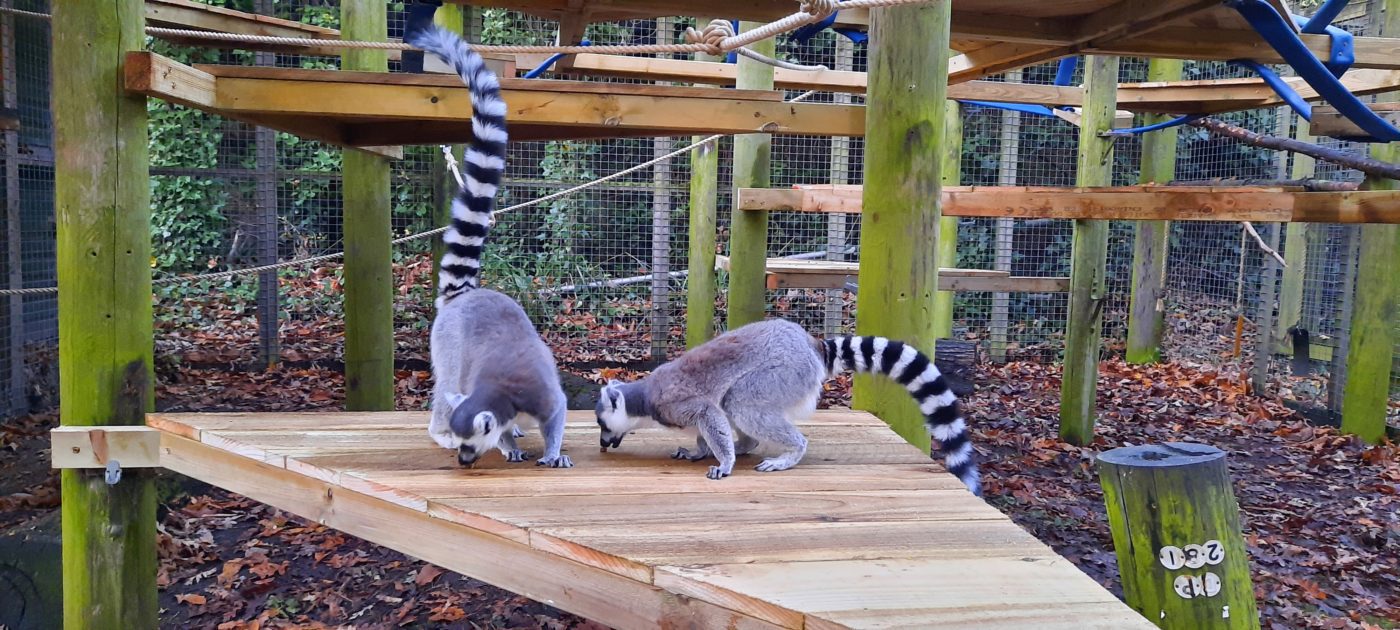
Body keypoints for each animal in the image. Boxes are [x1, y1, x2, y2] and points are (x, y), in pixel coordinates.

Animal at [409, 25, 572, 469]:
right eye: (469, 444)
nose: (465, 460)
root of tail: (464, 295)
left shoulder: (543, 395)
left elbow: (555, 413)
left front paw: (549, 449)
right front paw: (508, 444)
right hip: (448, 346)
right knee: (447, 380)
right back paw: (438, 430)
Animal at [594, 318, 980, 495]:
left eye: (602, 425)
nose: (602, 444)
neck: (644, 401)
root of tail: (810, 343)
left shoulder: (675, 404)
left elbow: (709, 413)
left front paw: (724, 462)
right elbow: (710, 424)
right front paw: (699, 451)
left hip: (783, 372)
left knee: (741, 403)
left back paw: (787, 454)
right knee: (736, 409)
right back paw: (747, 445)